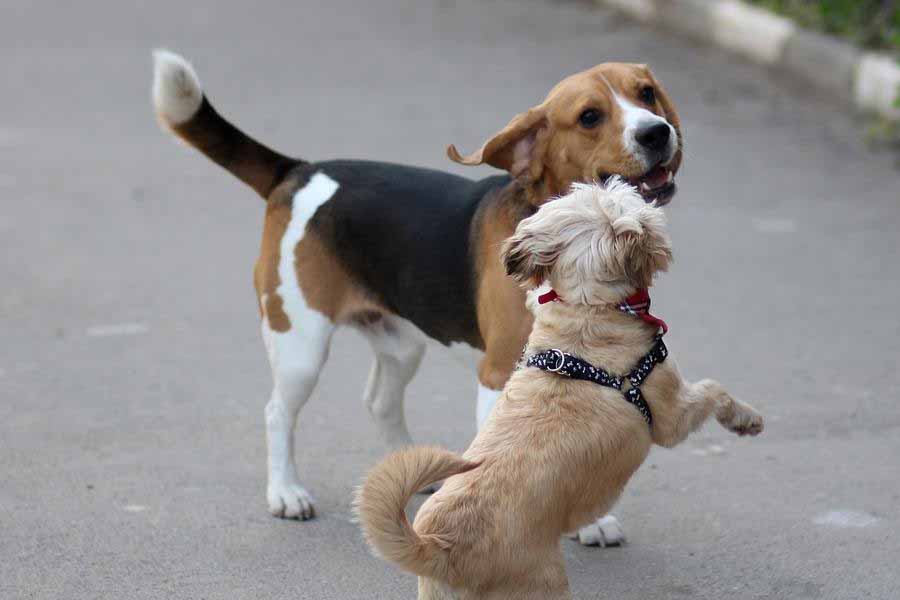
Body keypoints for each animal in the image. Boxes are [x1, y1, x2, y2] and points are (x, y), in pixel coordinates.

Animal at [151, 52, 684, 528]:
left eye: (646, 93)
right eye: (590, 116)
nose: (656, 132)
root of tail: (300, 172)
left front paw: (592, 523)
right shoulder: (501, 374)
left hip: (400, 341)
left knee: (380, 402)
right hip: (300, 343)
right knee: (277, 412)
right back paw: (286, 492)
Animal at [356, 182, 764, 600]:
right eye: (633, 204)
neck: (587, 308)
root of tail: (440, 546)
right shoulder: (670, 415)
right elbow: (714, 390)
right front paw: (746, 419)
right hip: (543, 582)